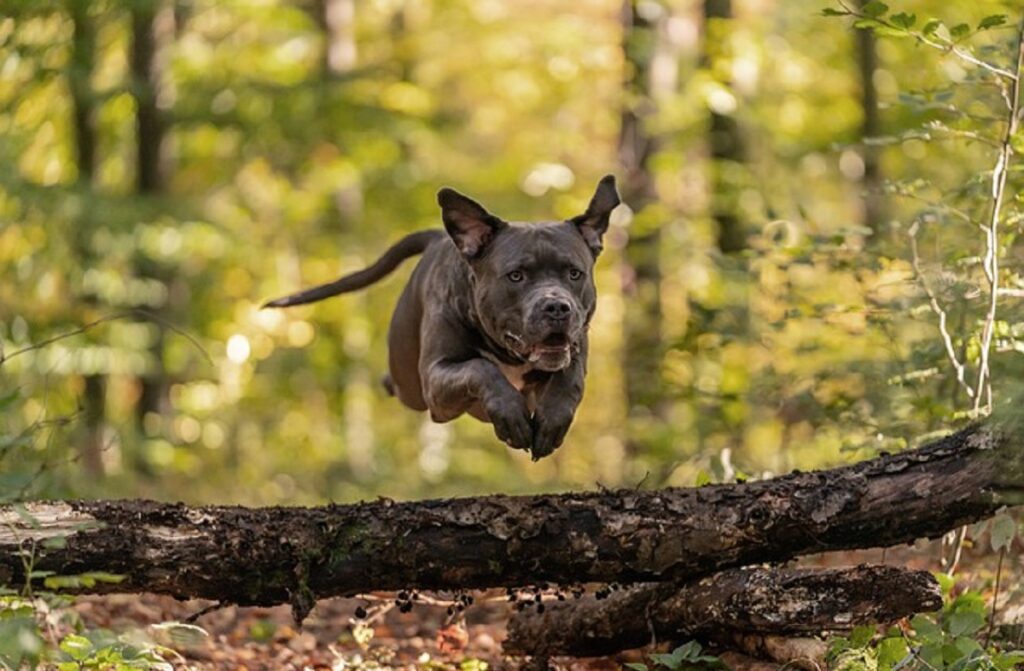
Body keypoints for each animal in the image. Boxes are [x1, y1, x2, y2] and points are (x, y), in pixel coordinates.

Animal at [264, 177, 618, 463]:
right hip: (411, 383)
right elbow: (480, 367)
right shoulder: (436, 376)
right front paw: (511, 414)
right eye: (516, 276)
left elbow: (569, 377)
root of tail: (439, 237)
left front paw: (552, 419)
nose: (557, 307)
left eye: (574, 273)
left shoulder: (576, 343)